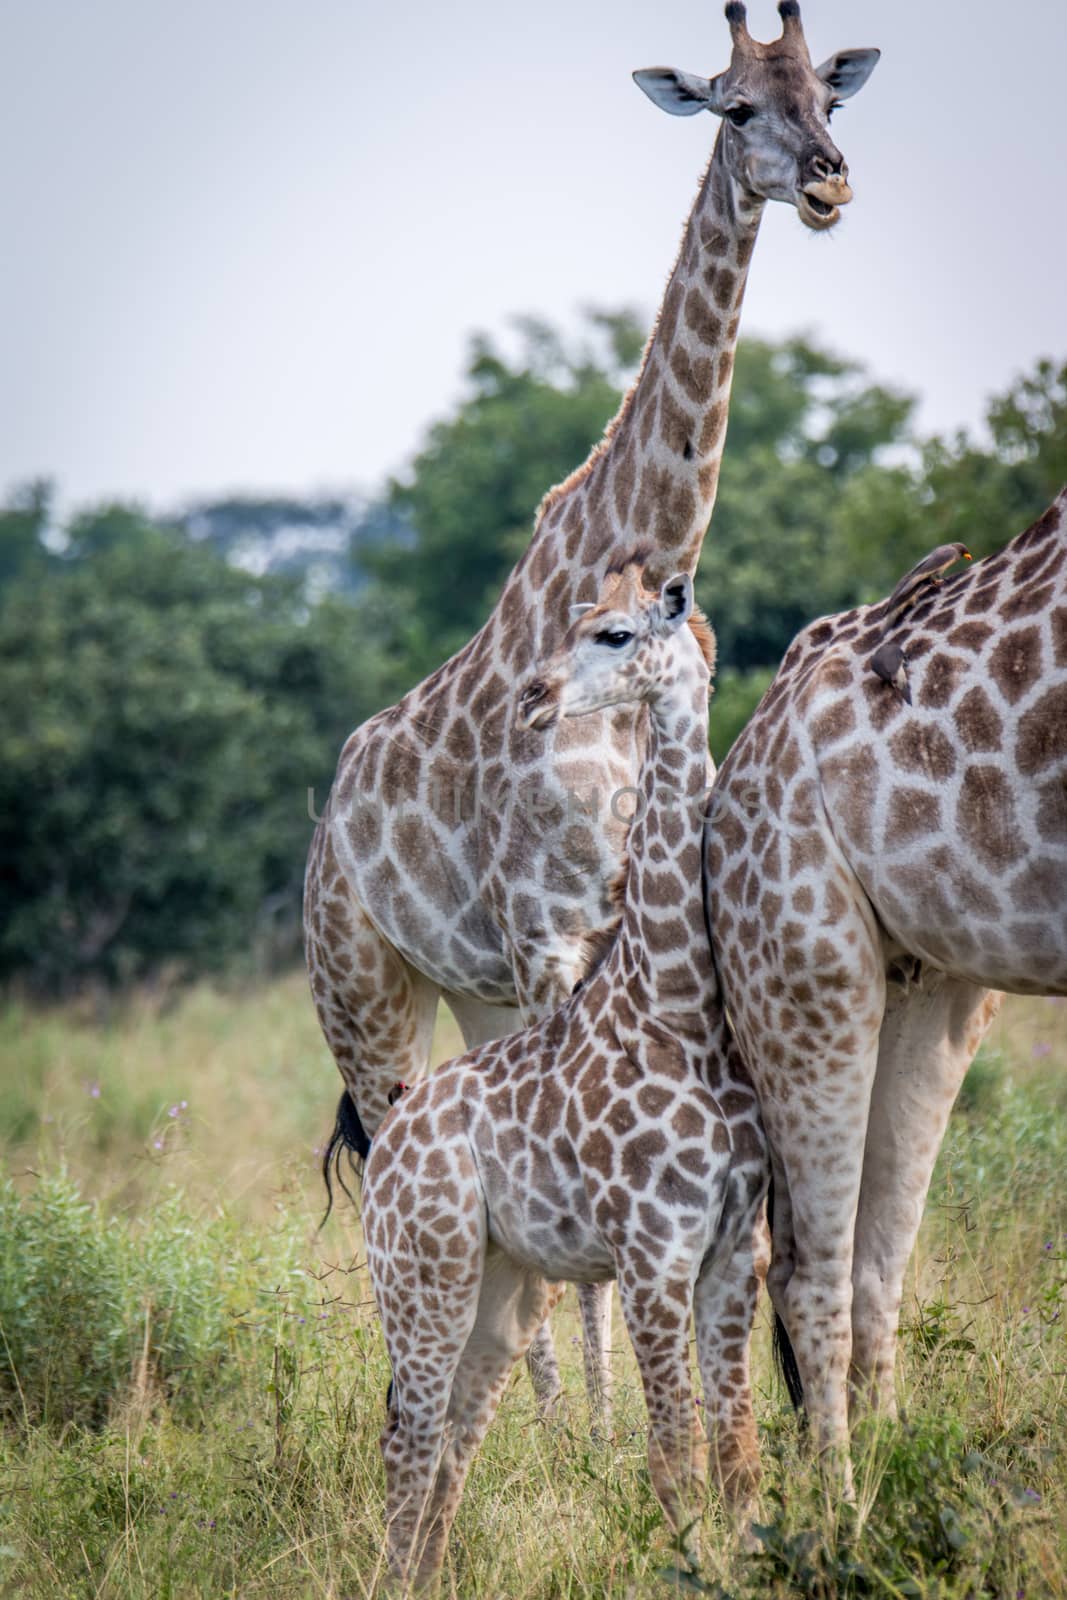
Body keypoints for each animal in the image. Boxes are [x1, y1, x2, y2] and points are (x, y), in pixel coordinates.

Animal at [303, 0, 883, 1427]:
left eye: (829, 92)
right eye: (734, 106)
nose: (828, 181)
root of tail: (329, 816)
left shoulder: (606, 926)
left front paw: (602, 1430)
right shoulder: (548, 927)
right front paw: (604, 1438)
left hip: (476, 995)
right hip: (365, 993)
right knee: (395, 1156)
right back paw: (507, 1401)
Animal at [361, 560, 767, 1587]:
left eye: (613, 634)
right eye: (576, 620)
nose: (533, 695)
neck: (677, 1002)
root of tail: (388, 1136)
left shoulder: (730, 1252)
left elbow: (736, 1456)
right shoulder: (651, 1254)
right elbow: (674, 1460)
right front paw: (692, 1575)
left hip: (504, 1288)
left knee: (454, 1436)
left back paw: (430, 1579)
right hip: (420, 1274)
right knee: (407, 1436)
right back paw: (391, 1580)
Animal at [700, 483, 1067, 1484]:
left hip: (937, 986)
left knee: (874, 1260)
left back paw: (895, 1467)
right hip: (803, 965)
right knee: (804, 1268)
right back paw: (834, 1497)